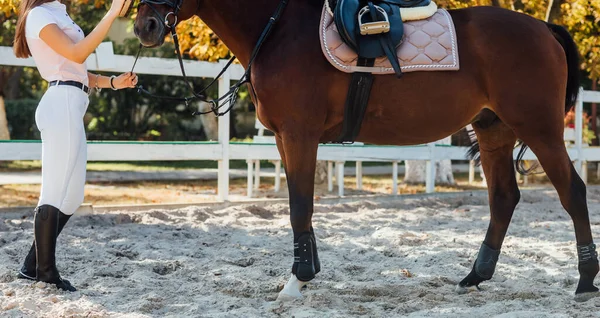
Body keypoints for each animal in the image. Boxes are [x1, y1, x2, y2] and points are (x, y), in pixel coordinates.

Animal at [134, 0, 596, 300]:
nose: (144, 26)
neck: (281, 30)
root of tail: (543, 29)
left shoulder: (299, 133)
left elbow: (300, 206)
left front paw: (298, 280)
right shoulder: (285, 137)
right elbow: (300, 205)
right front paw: (306, 273)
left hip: (540, 129)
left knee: (572, 192)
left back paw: (586, 279)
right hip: (493, 129)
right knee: (504, 198)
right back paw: (475, 276)